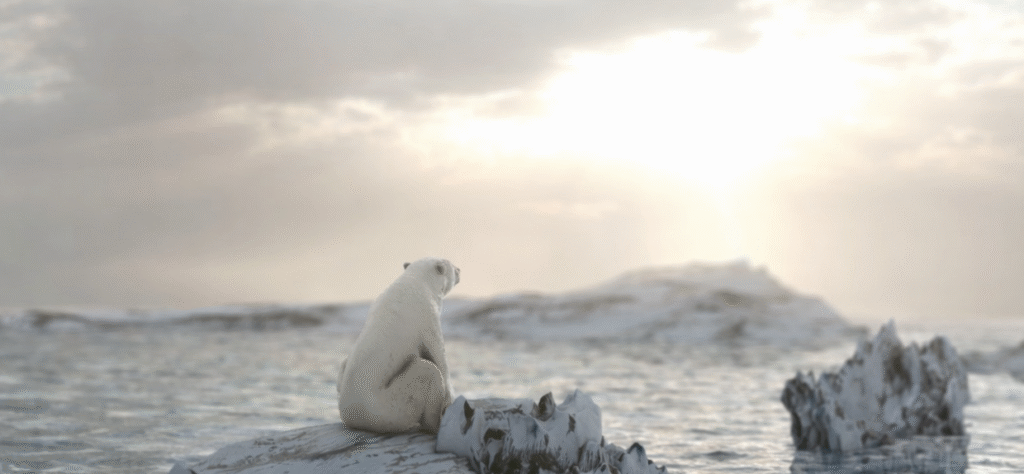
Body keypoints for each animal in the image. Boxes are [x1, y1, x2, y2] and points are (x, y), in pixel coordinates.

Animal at [337, 257, 460, 433]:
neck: (416, 280)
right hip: (388, 407)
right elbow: (439, 354)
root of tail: (348, 413)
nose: (460, 270)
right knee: (427, 370)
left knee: (343, 363)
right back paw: (433, 424)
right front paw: (450, 398)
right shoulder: (426, 314)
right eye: (452, 267)